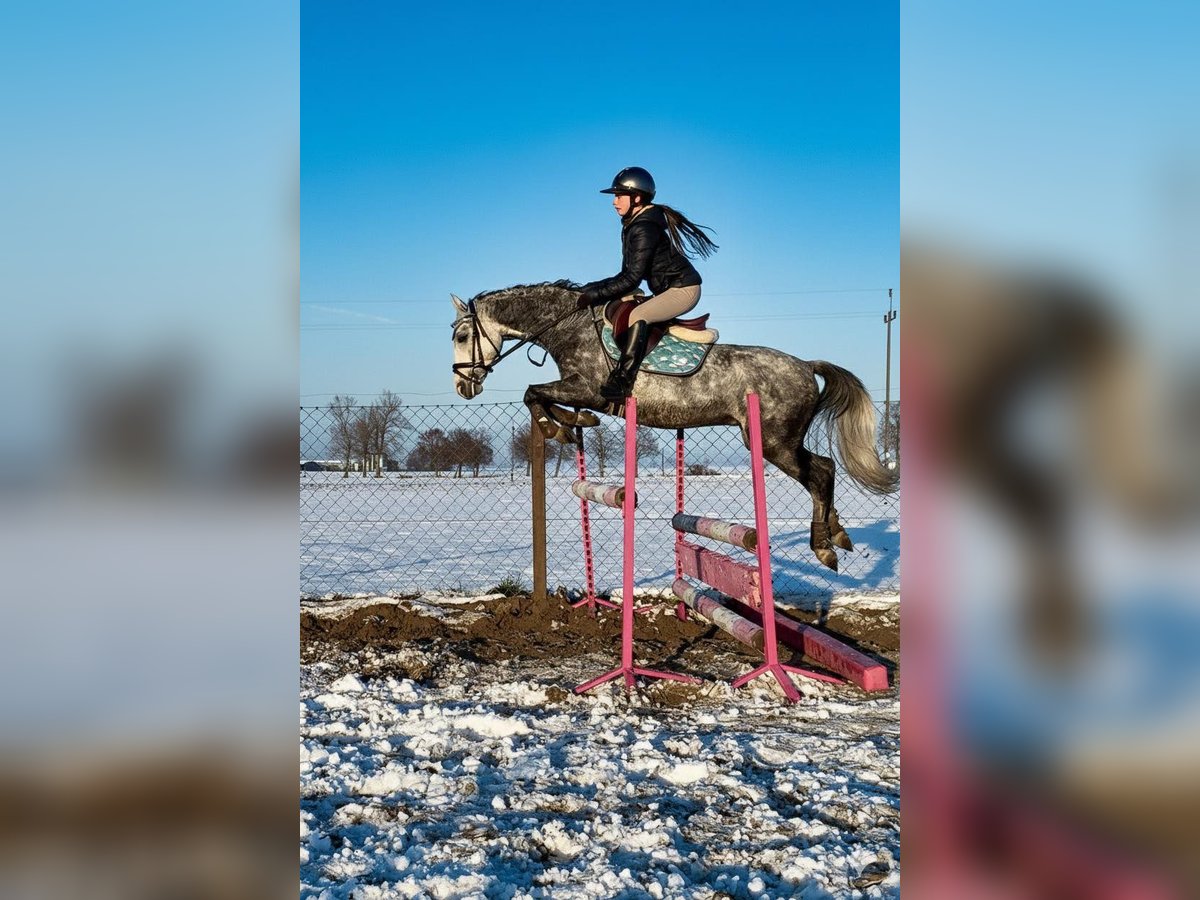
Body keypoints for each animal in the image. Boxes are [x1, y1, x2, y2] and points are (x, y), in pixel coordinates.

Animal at [451, 280, 897, 572]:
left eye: (462, 335)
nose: (463, 386)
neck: (569, 327)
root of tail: (806, 365)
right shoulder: (578, 389)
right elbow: (542, 396)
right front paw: (574, 422)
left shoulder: (589, 388)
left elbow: (533, 393)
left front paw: (558, 427)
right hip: (779, 441)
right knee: (825, 468)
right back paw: (837, 534)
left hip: (774, 442)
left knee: (819, 473)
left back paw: (823, 547)